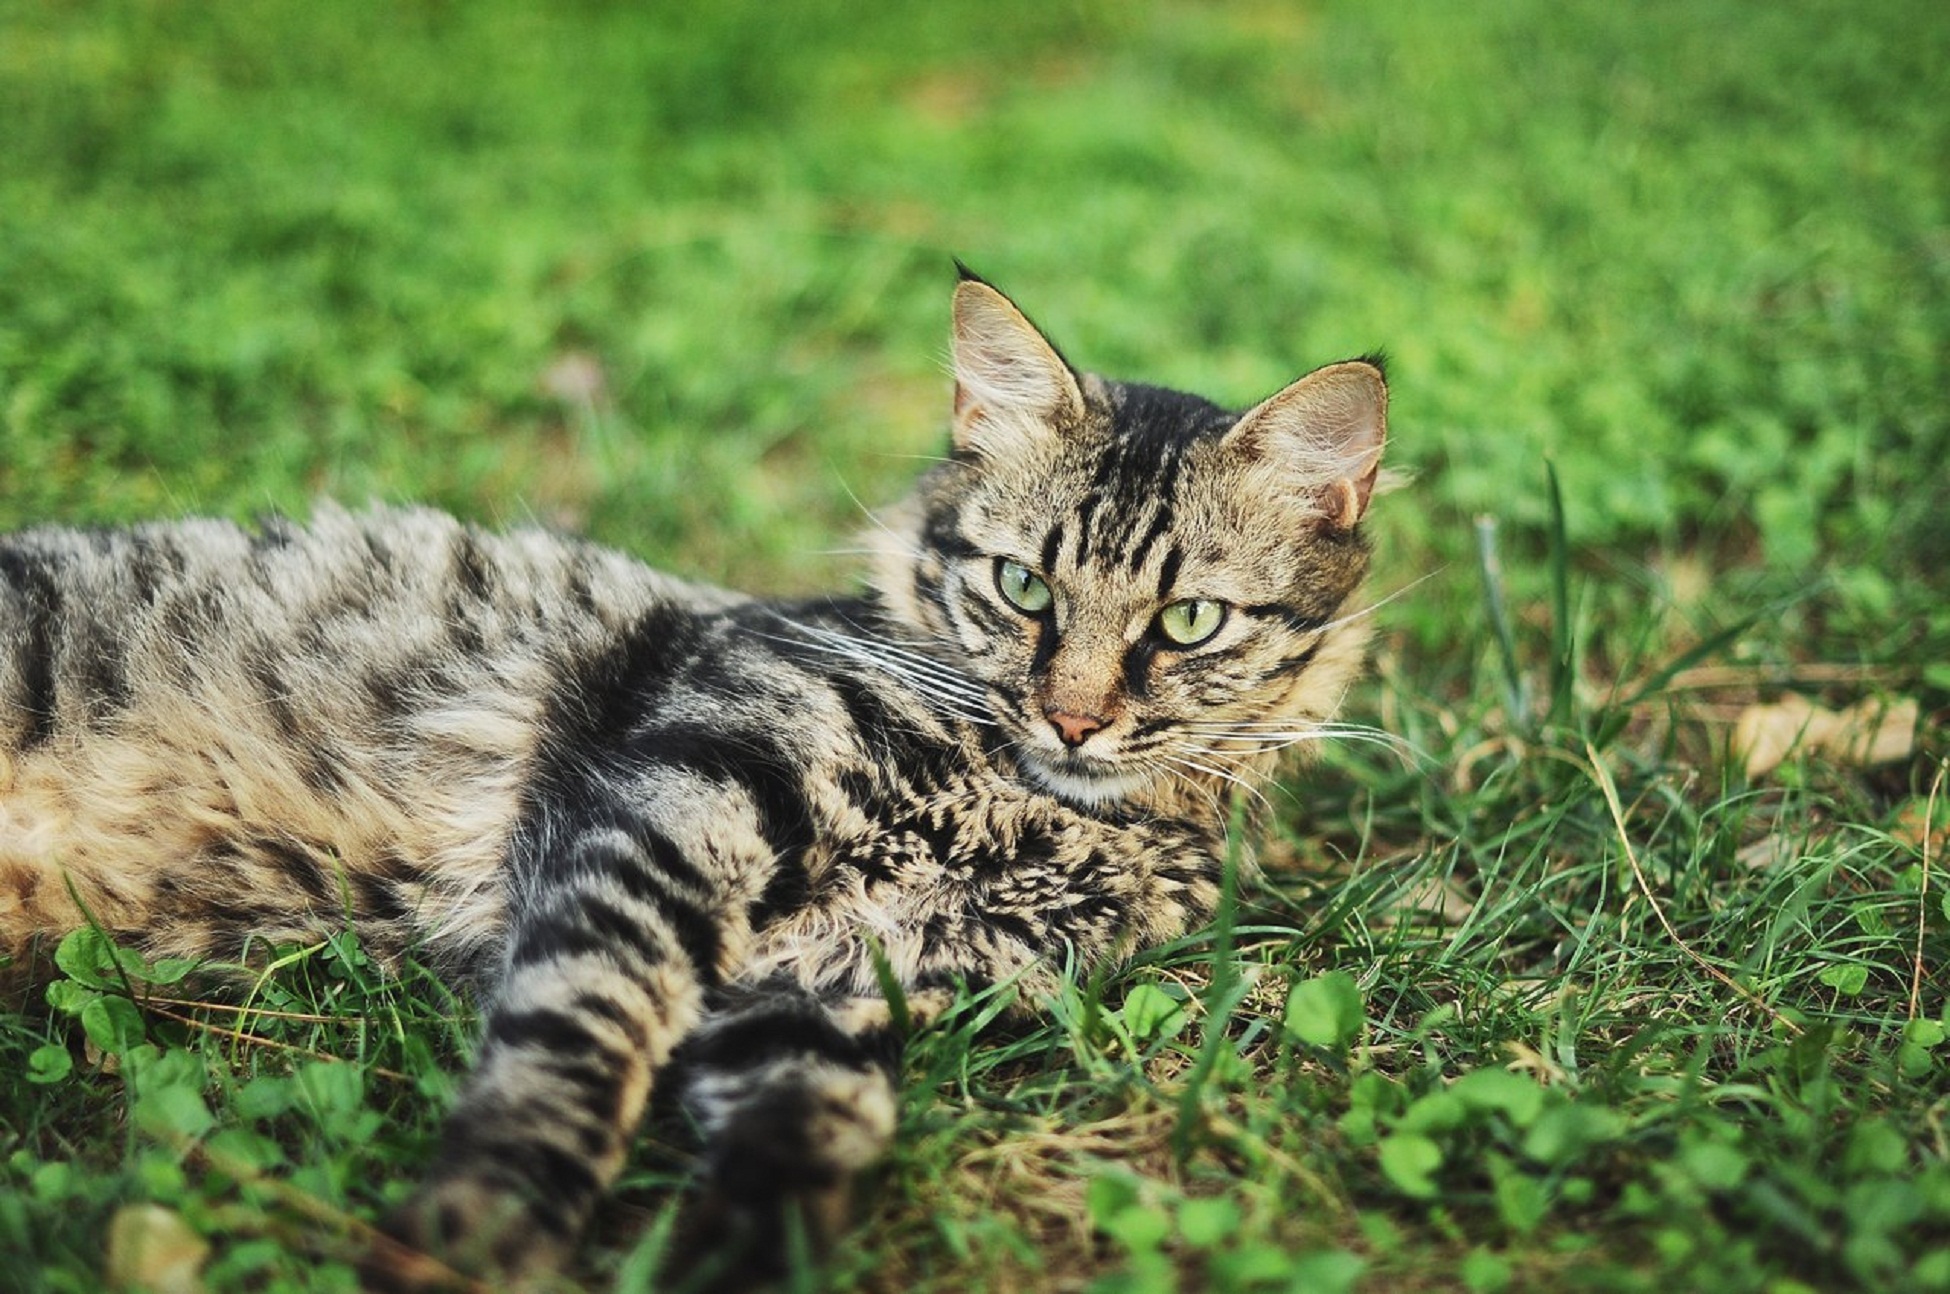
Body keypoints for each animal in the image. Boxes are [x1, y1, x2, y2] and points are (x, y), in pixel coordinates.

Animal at [0, 266, 1388, 1286]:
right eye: (1024, 588)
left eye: (1188, 623)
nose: (1076, 718)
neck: (1015, 798)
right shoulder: (677, 799)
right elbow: (581, 1028)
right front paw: (487, 1218)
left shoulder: (843, 980)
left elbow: (818, 1119)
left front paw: (746, 1251)